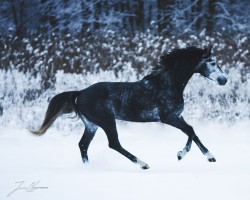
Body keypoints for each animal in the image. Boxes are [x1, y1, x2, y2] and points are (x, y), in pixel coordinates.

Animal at [31, 45, 227, 169]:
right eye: (212, 62)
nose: (224, 80)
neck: (167, 84)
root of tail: (80, 93)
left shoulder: (177, 116)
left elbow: (193, 133)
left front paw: (210, 157)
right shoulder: (168, 117)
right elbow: (191, 131)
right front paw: (182, 154)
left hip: (92, 125)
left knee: (83, 145)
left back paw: (88, 168)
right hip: (107, 121)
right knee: (114, 144)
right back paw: (143, 164)